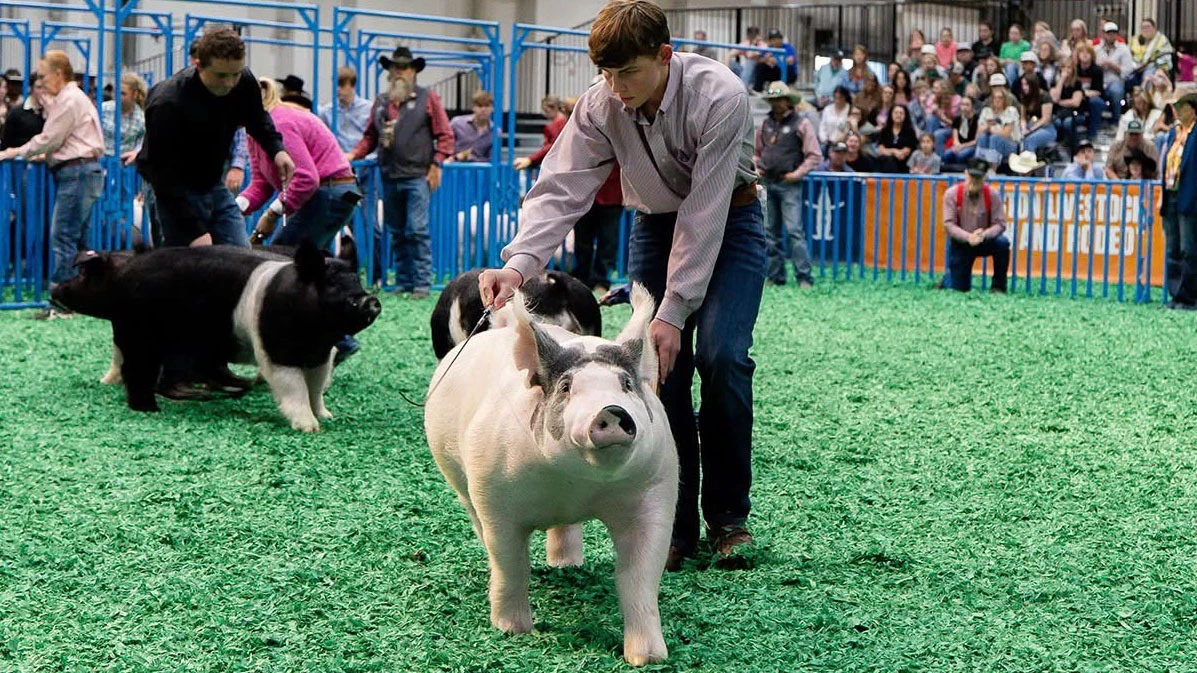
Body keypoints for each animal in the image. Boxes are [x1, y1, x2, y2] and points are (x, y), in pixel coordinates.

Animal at [51, 241, 381, 431]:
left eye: (357, 282)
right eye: (332, 286)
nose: (370, 300)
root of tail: (130, 271)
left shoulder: (319, 355)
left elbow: (315, 388)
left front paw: (327, 417)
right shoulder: (277, 351)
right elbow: (294, 388)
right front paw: (309, 428)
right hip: (139, 334)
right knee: (136, 370)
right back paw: (149, 409)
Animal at [424, 284, 678, 666]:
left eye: (626, 385)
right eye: (566, 387)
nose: (612, 410)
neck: (575, 485)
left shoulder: (656, 489)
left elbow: (638, 577)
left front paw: (649, 658)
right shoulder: (493, 495)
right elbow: (511, 563)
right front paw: (512, 630)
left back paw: (566, 566)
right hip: (459, 480)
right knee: (478, 524)